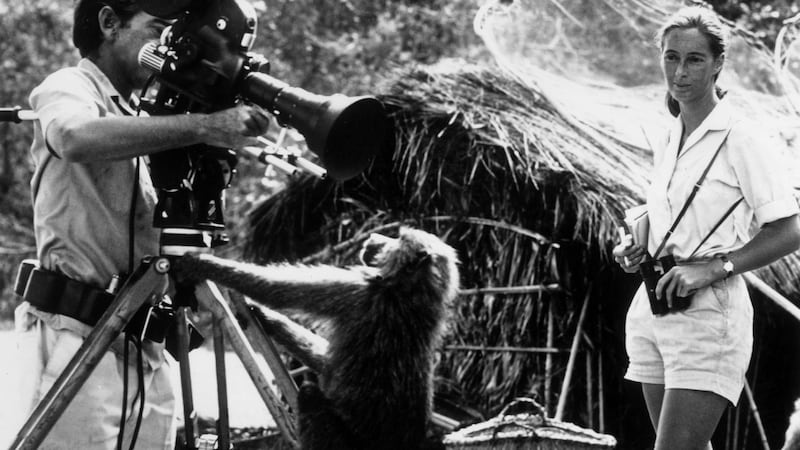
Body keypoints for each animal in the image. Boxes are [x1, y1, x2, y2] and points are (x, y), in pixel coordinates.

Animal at [174, 227, 460, 450]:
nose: (374, 237)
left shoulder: (358, 291)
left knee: (310, 394)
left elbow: (274, 289)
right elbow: (326, 362)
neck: (409, 292)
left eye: (397, 238)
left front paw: (201, 264)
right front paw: (266, 319)